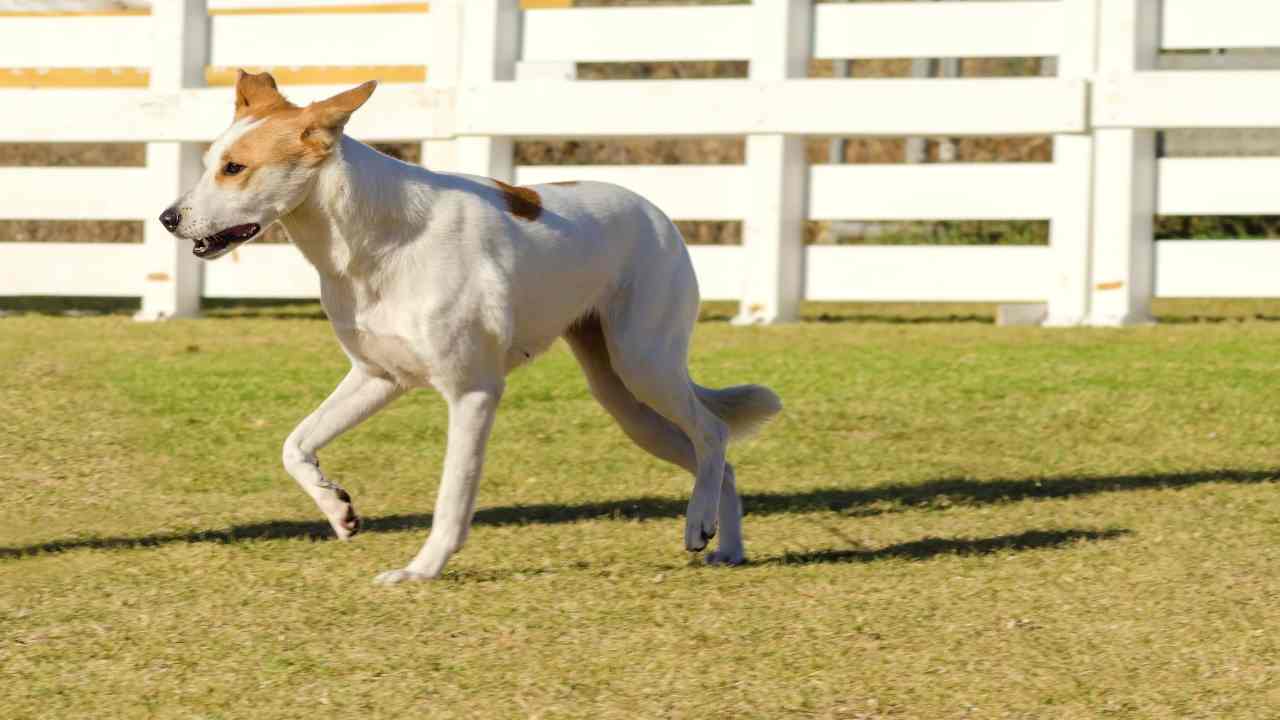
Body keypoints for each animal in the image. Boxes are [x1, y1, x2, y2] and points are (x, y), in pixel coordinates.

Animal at [160, 70, 778, 579]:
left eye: (235, 168)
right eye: (209, 162)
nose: (168, 218)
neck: (375, 239)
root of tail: (659, 215)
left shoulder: (473, 393)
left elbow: (452, 498)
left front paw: (420, 570)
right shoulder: (377, 377)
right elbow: (295, 444)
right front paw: (338, 510)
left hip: (644, 364)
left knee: (712, 432)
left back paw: (700, 524)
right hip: (625, 402)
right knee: (719, 458)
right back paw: (724, 545)